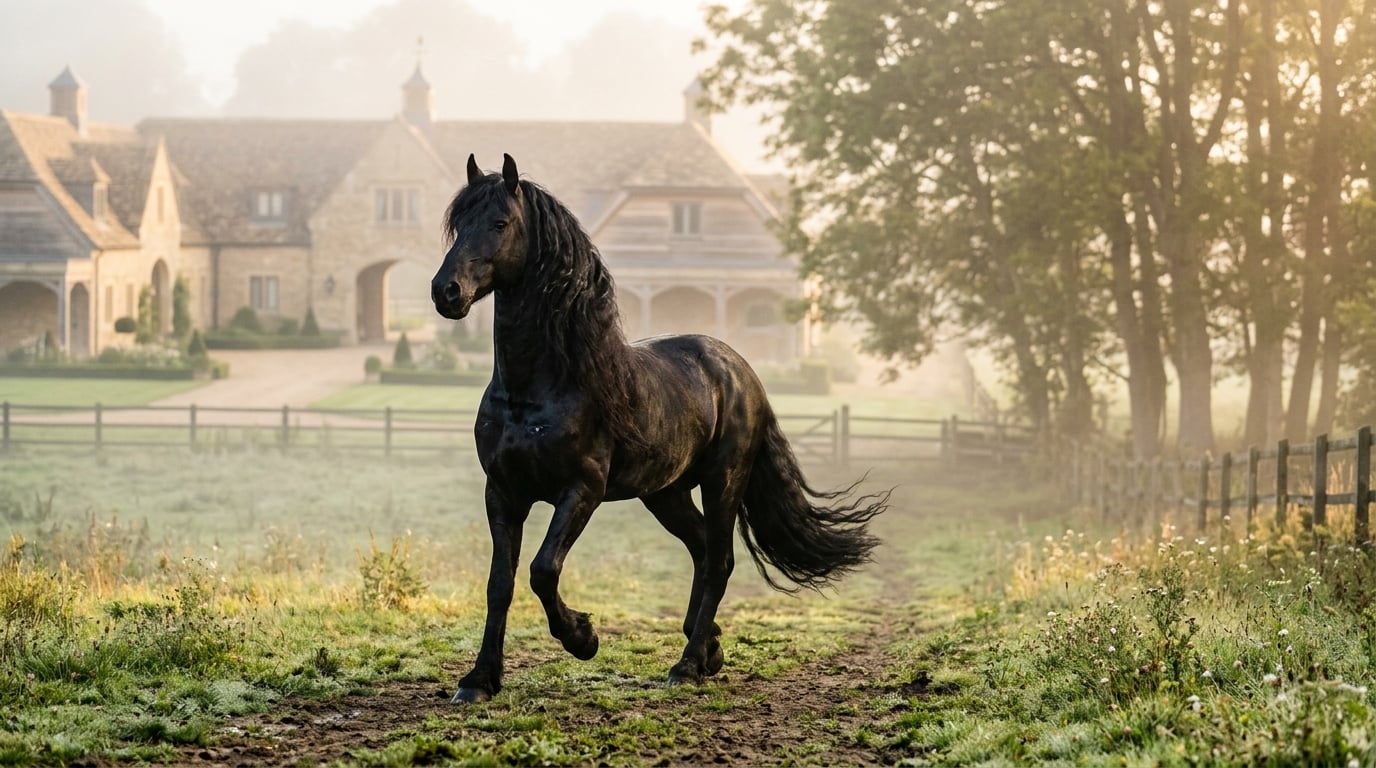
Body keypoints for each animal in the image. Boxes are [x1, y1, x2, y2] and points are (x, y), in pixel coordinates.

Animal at [430, 153, 888, 704]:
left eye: (500, 223)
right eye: (459, 225)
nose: (446, 292)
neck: (538, 389)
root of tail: (741, 371)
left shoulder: (581, 490)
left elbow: (543, 570)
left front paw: (583, 637)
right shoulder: (502, 492)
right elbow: (500, 584)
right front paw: (479, 680)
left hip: (722, 483)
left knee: (719, 561)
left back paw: (687, 665)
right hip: (665, 494)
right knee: (702, 549)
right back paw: (707, 646)